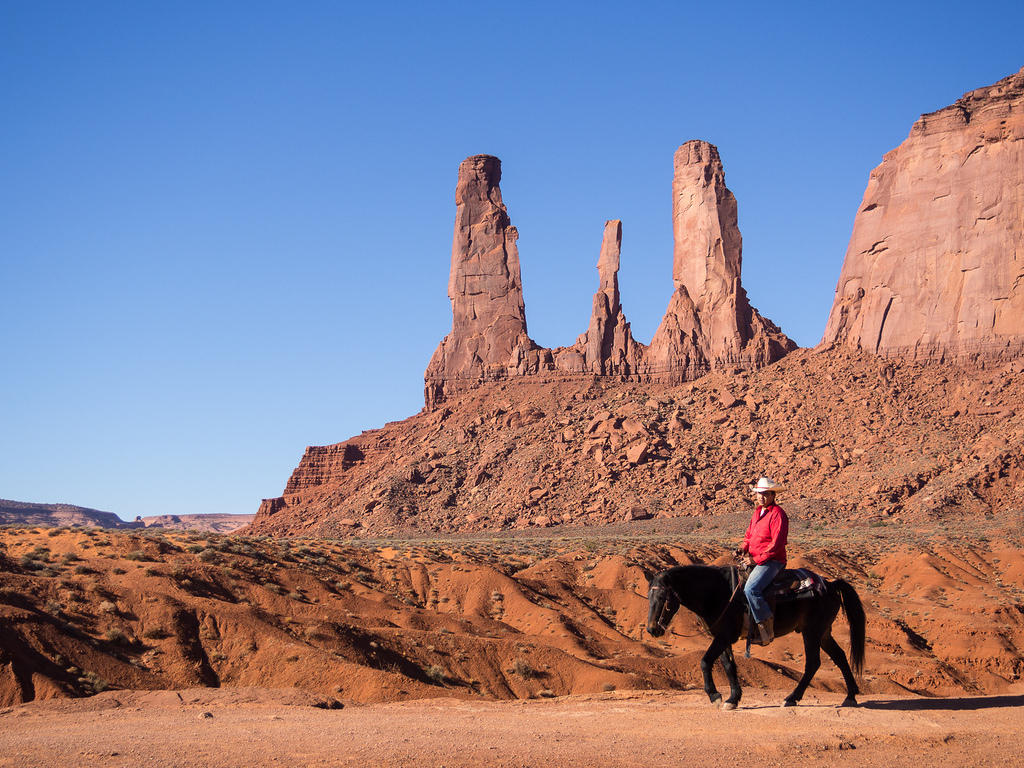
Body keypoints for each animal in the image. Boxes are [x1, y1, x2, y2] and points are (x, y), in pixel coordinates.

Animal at [647, 565, 864, 708]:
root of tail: (830, 584)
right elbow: (728, 666)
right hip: (823, 632)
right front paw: (733, 698)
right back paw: (850, 697)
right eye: (649, 597)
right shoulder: (722, 637)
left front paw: (715, 696)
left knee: (813, 663)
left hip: (812, 631)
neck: (717, 593)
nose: (651, 629)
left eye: (663, 598)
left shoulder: (724, 636)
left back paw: (791, 698)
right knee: (840, 657)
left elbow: (705, 661)